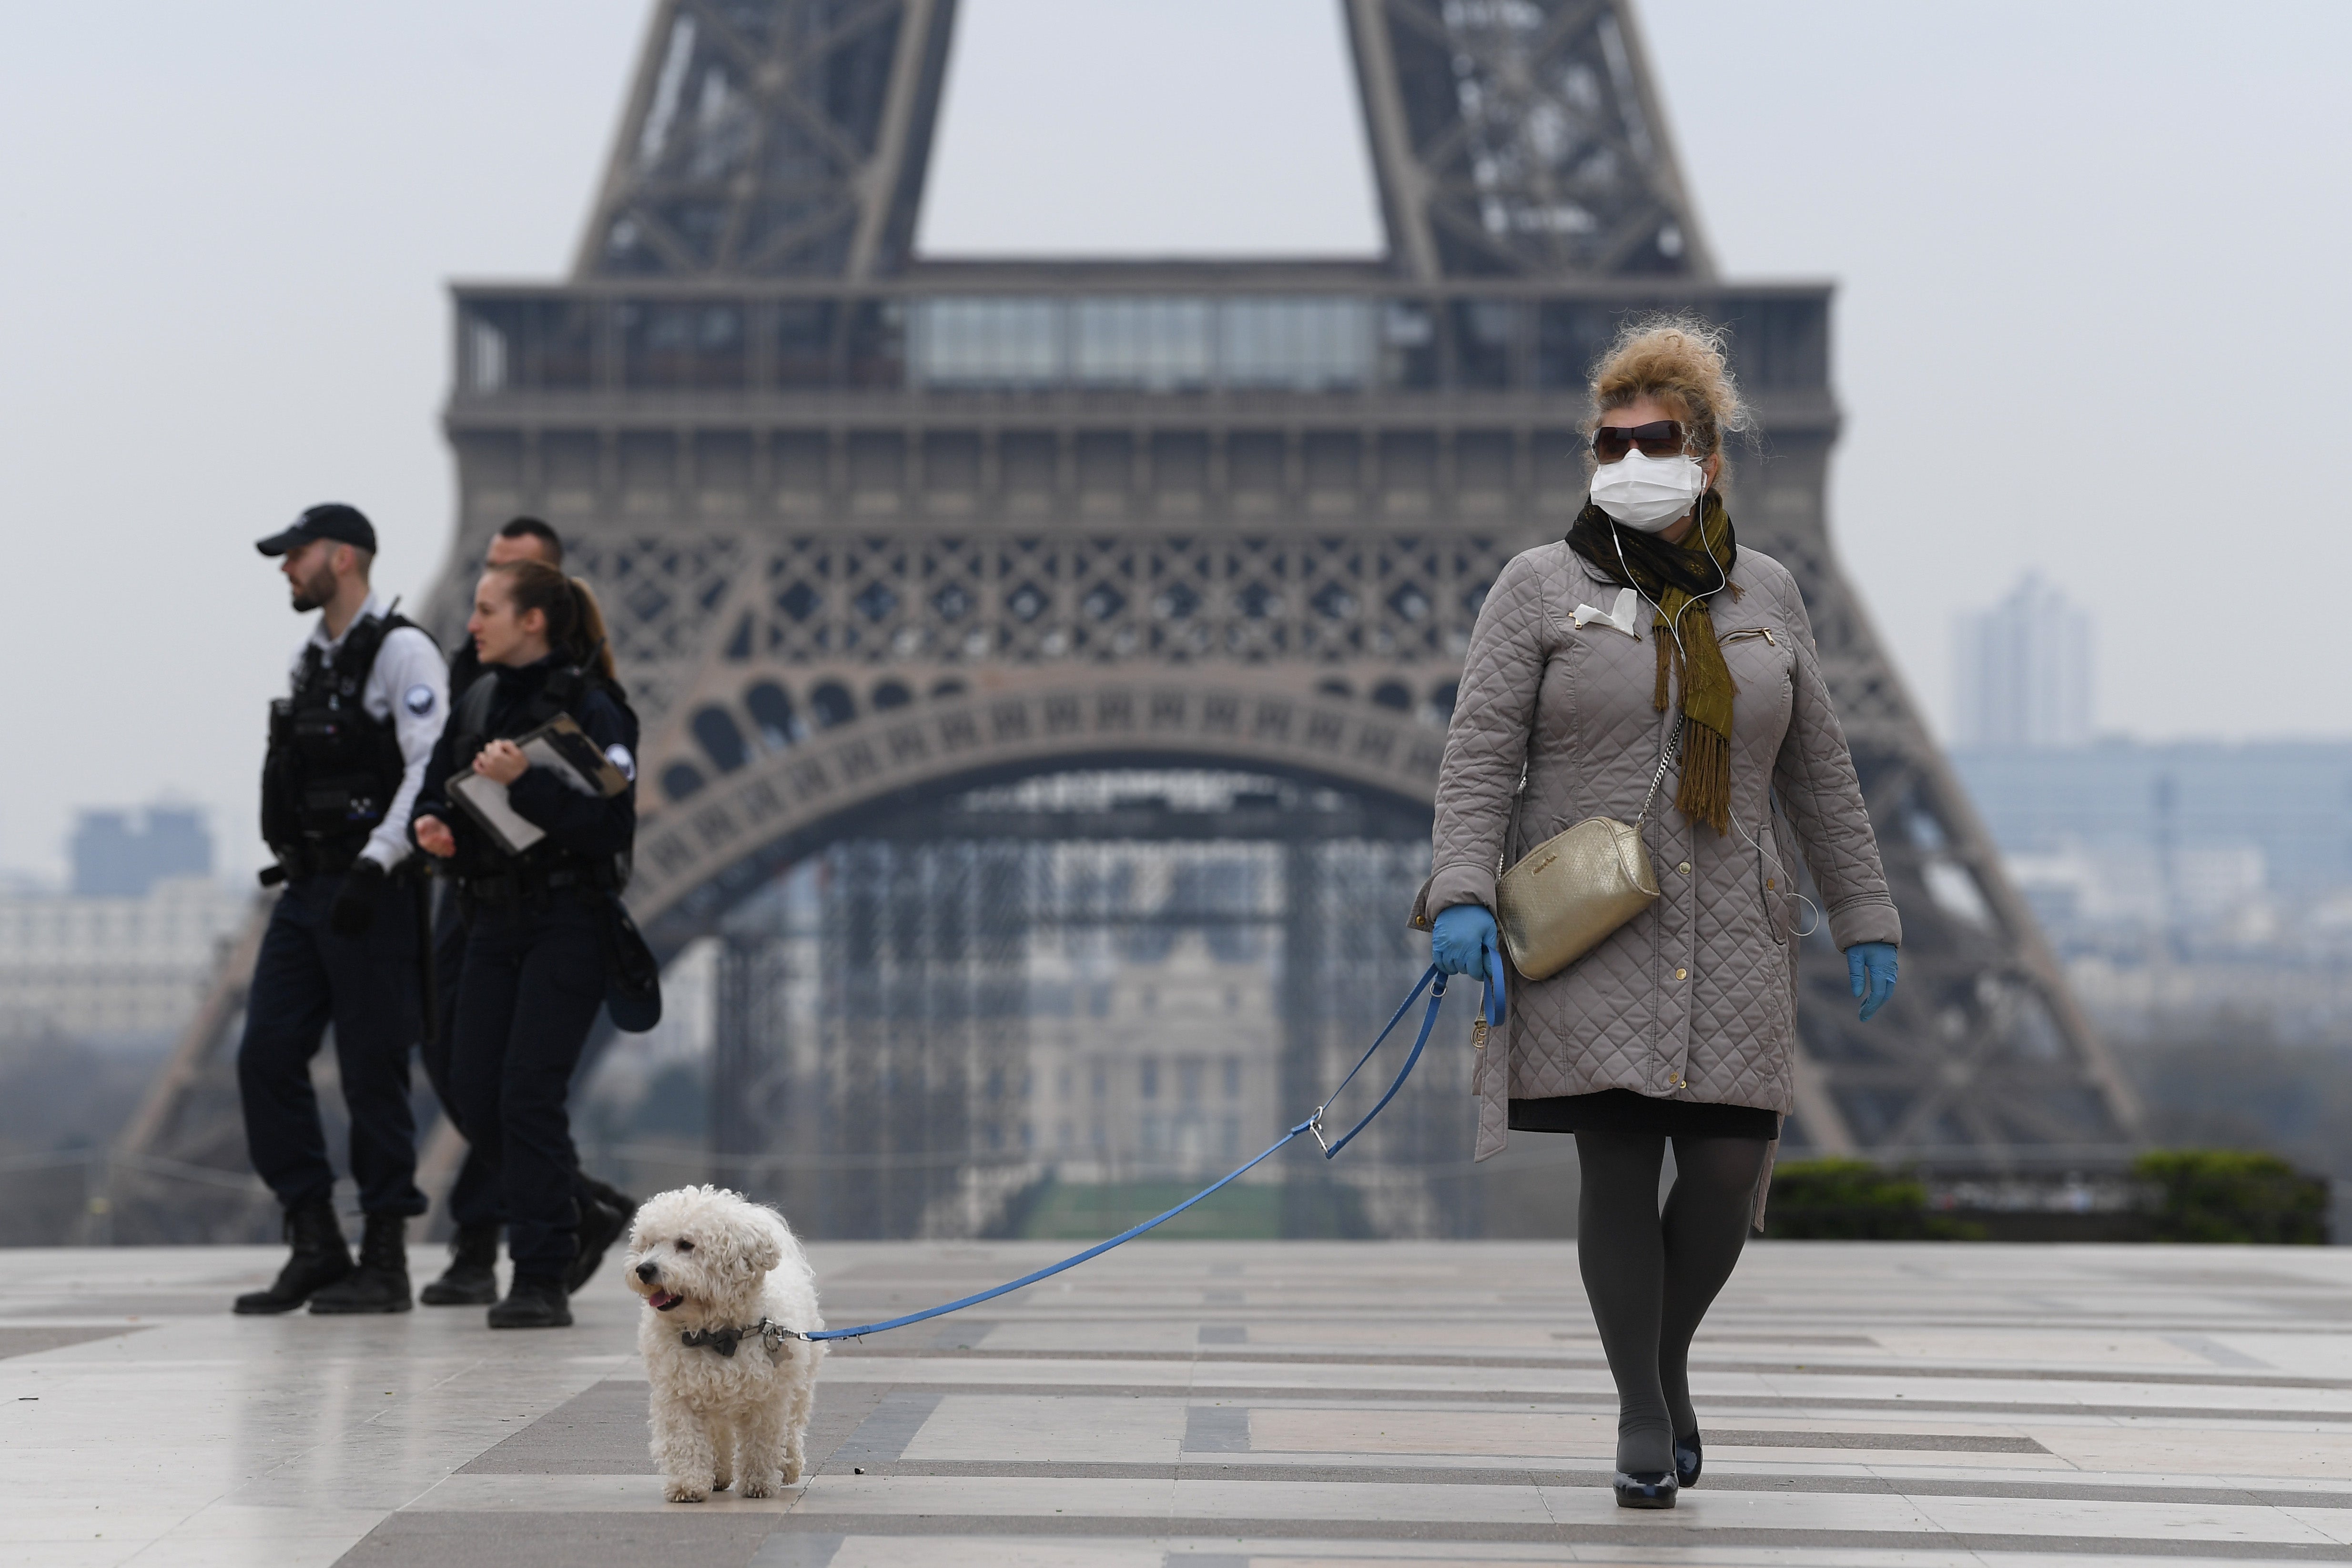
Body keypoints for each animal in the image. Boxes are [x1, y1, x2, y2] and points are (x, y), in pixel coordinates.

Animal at [621, 1184, 823, 1504]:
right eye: (649, 1244)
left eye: (686, 1244)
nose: (644, 1269)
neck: (714, 1334)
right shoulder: (678, 1393)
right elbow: (685, 1440)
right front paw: (687, 1484)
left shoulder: (768, 1397)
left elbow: (762, 1442)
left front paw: (759, 1482)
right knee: (719, 1434)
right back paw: (718, 1474)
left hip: (800, 1383)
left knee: (791, 1427)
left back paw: (788, 1465)